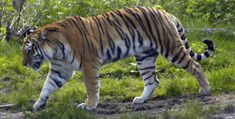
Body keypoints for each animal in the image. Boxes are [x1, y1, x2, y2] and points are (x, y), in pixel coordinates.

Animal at [22, 6, 215, 111]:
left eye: (29, 50)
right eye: (24, 51)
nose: (24, 64)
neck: (55, 50)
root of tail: (166, 13)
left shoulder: (89, 64)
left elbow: (91, 87)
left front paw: (89, 105)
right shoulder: (60, 69)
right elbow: (47, 86)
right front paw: (38, 104)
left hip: (171, 48)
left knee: (195, 66)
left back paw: (205, 89)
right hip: (144, 57)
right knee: (152, 80)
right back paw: (141, 99)